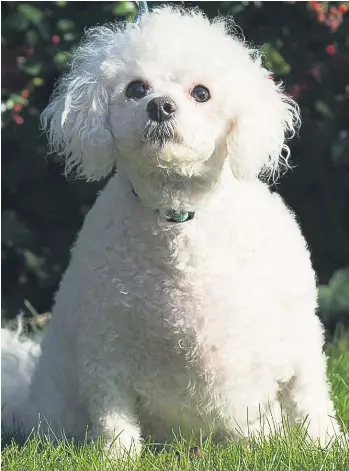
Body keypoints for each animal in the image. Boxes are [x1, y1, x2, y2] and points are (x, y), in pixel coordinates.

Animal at [2, 6, 340, 458]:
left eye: (202, 93)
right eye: (135, 88)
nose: (159, 106)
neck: (179, 215)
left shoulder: (298, 334)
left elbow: (309, 396)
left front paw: (325, 444)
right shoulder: (105, 350)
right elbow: (114, 418)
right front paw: (117, 458)